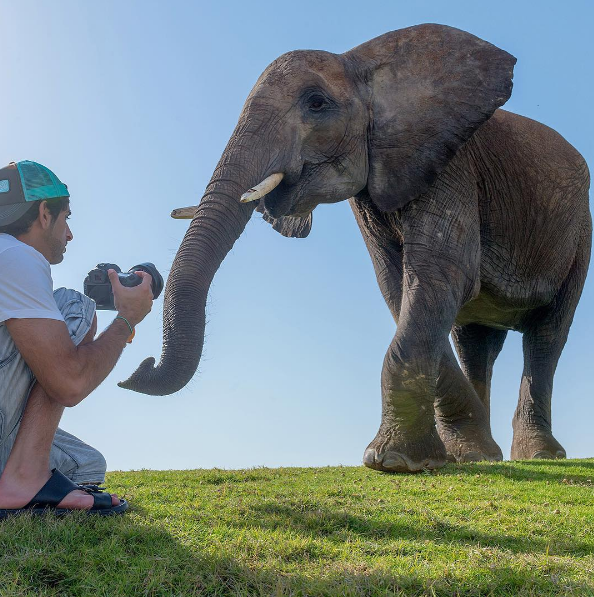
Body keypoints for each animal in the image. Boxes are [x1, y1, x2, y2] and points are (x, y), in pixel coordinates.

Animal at [119, 23, 588, 472]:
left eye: (316, 103)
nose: (137, 367)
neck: (363, 64)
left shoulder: (451, 165)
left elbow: (441, 274)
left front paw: (395, 462)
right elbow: (399, 287)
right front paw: (454, 455)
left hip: (581, 233)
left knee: (546, 337)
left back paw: (539, 455)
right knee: (474, 342)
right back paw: (481, 454)